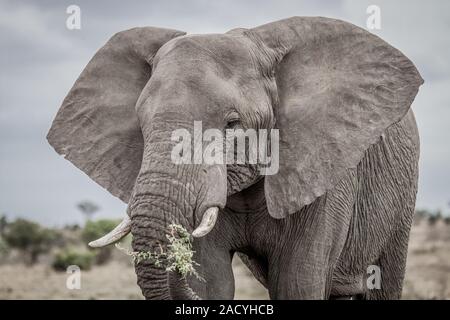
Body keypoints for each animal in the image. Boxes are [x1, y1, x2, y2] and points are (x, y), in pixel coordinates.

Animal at [47, 16, 424, 298]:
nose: (177, 259)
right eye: (141, 126)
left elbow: (297, 283)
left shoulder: (323, 169)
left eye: (232, 124)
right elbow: (212, 284)